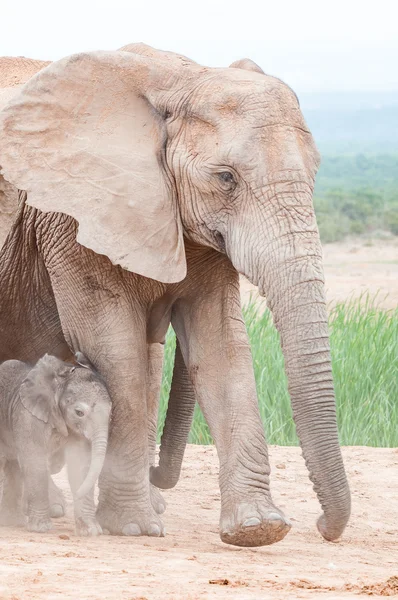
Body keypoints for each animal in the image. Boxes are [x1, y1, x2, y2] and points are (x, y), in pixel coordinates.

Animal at [0, 352, 110, 536]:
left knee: (13, 466)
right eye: (79, 413)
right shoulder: (29, 416)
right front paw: (41, 529)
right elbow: (35, 461)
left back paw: (13, 522)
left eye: (110, 414)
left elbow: (80, 463)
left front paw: (91, 532)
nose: (76, 494)